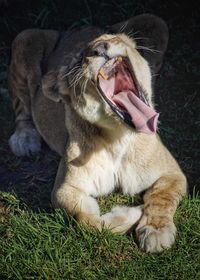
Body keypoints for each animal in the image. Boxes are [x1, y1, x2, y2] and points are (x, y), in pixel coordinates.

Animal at [8, 14, 186, 253]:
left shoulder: (172, 174)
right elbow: (87, 221)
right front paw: (132, 213)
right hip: (25, 37)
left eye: (110, 39)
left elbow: (161, 198)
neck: (119, 136)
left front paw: (156, 232)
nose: (99, 49)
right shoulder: (66, 188)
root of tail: (80, 27)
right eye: (80, 59)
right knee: (22, 108)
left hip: (155, 21)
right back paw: (24, 140)